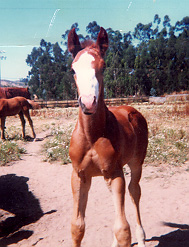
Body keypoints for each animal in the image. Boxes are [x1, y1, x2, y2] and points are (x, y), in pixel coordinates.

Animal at [68, 27, 148, 247]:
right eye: (72, 70)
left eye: (103, 67)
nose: (88, 103)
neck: (91, 136)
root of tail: (131, 109)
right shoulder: (79, 175)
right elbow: (77, 227)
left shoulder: (115, 173)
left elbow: (122, 230)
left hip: (136, 163)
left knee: (134, 192)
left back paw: (141, 237)